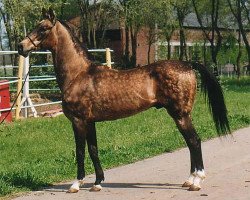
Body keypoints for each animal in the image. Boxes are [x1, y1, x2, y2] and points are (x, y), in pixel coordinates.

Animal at [17, 8, 230, 193]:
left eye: (43, 28)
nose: (21, 46)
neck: (78, 74)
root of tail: (187, 64)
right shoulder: (90, 122)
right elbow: (93, 150)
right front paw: (97, 183)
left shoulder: (78, 121)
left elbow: (80, 152)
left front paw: (76, 184)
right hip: (182, 115)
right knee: (191, 142)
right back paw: (189, 180)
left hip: (180, 115)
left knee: (194, 141)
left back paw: (196, 181)